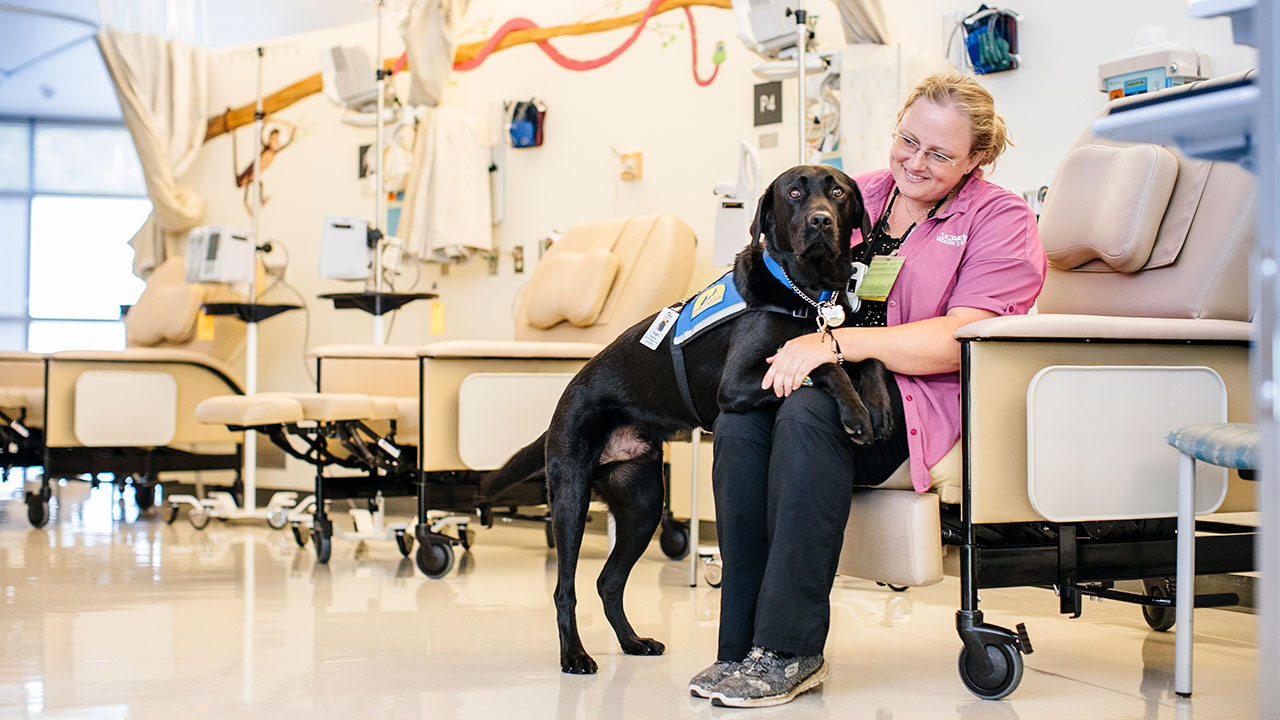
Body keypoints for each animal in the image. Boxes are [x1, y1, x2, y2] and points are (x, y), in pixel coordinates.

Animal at [478, 163, 890, 671]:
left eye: (837, 191)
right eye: (794, 193)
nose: (820, 221)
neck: (805, 292)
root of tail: (562, 403)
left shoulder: (829, 338)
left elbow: (861, 355)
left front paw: (879, 404)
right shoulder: (737, 382)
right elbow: (819, 363)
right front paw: (856, 412)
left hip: (643, 502)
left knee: (608, 581)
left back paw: (632, 642)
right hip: (571, 497)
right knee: (564, 588)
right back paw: (575, 654)